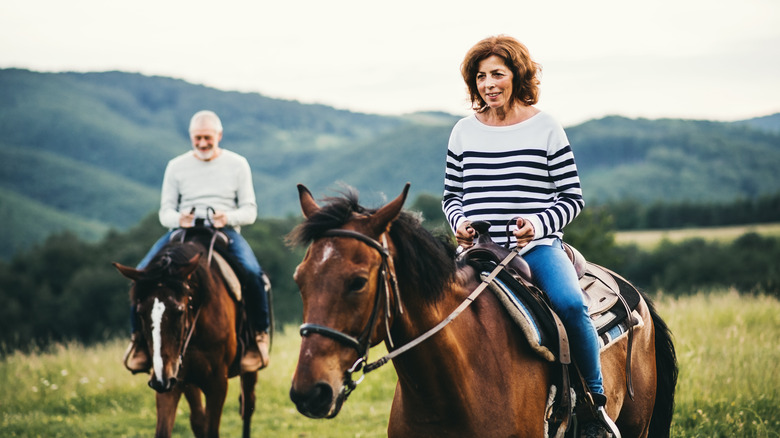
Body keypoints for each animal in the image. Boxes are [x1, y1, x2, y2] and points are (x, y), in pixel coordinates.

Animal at [114, 236, 258, 438]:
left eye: (179, 311)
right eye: (141, 313)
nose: (161, 379)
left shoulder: (217, 384)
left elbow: (212, 429)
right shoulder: (171, 381)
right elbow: (167, 429)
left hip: (249, 370)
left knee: (247, 406)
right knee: (198, 419)